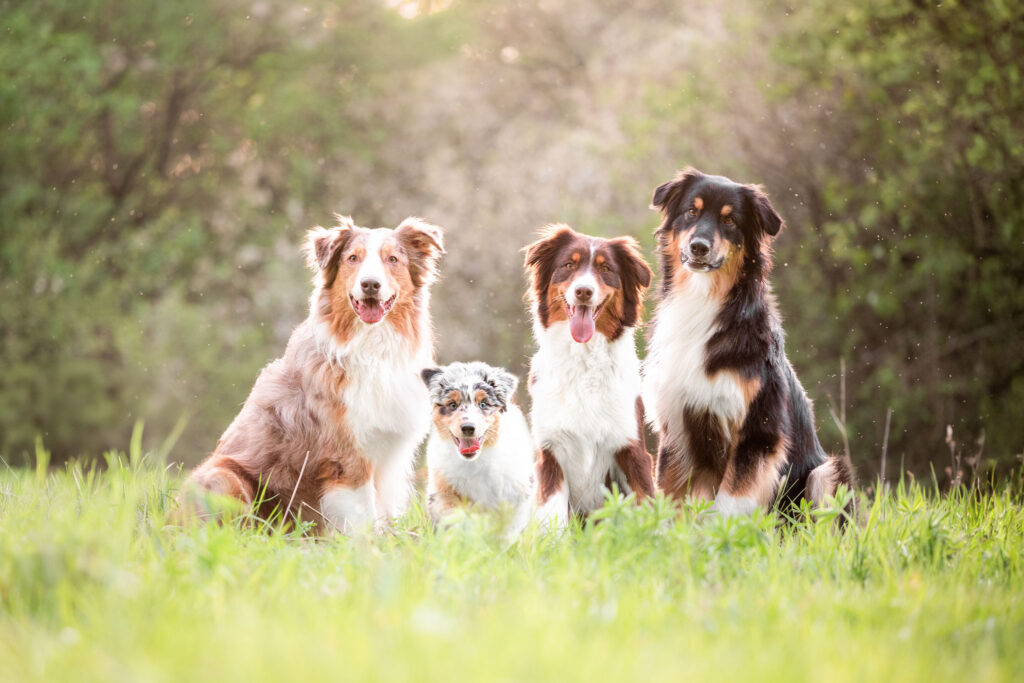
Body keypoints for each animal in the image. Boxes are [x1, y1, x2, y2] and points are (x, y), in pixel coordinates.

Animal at [177, 214, 448, 532]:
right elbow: (363, 514)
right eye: (353, 258)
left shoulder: (389, 454)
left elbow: (382, 509)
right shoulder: (347, 456)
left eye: (392, 259)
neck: (371, 346)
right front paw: (371, 543)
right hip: (222, 476)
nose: (370, 284)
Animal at [421, 362, 536, 540]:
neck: (475, 462)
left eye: (483, 404)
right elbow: (453, 514)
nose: (468, 427)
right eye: (452, 405)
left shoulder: (517, 491)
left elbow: (506, 526)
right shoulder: (443, 487)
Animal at [524, 224, 651, 528]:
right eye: (569, 265)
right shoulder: (550, 453)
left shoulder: (632, 450)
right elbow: (552, 519)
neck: (583, 359)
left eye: (606, 269)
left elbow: (651, 505)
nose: (583, 291)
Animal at [638, 167, 856, 516]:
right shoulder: (677, 427)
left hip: (828, 471)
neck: (704, 299)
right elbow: (671, 498)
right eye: (691, 212)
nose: (699, 246)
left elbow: (729, 502)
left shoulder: (759, 431)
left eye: (730, 220)